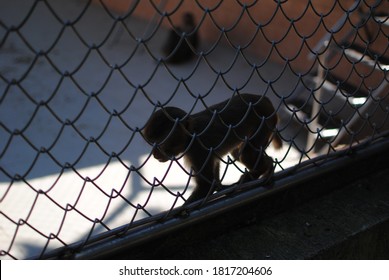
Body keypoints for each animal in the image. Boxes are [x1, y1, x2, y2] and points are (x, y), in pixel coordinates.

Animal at [141, 93, 280, 205]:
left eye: (160, 145)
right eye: (153, 144)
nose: (154, 154)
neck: (191, 134)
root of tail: (264, 99)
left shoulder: (197, 151)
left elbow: (206, 186)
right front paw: (220, 186)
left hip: (265, 120)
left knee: (246, 154)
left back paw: (259, 172)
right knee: (237, 153)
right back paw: (268, 166)